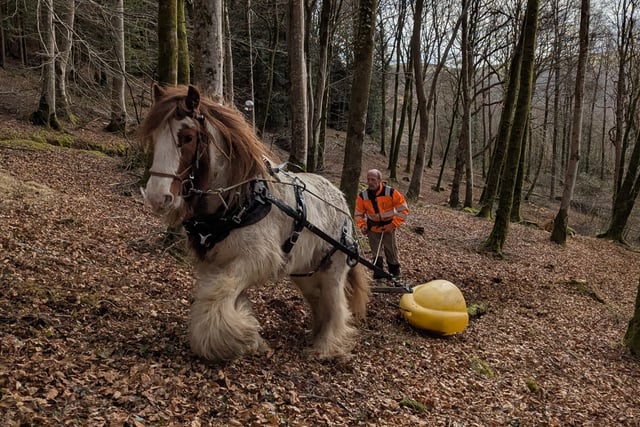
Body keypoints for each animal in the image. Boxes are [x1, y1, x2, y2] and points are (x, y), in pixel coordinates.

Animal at [139, 84, 370, 362]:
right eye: (154, 136)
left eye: (187, 138)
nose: (156, 196)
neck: (238, 200)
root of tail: (342, 201)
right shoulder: (214, 262)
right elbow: (223, 293)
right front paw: (249, 337)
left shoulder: (256, 259)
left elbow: (217, 293)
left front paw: (230, 338)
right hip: (305, 271)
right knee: (319, 299)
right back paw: (317, 333)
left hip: (333, 268)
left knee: (336, 304)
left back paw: (327, 346)